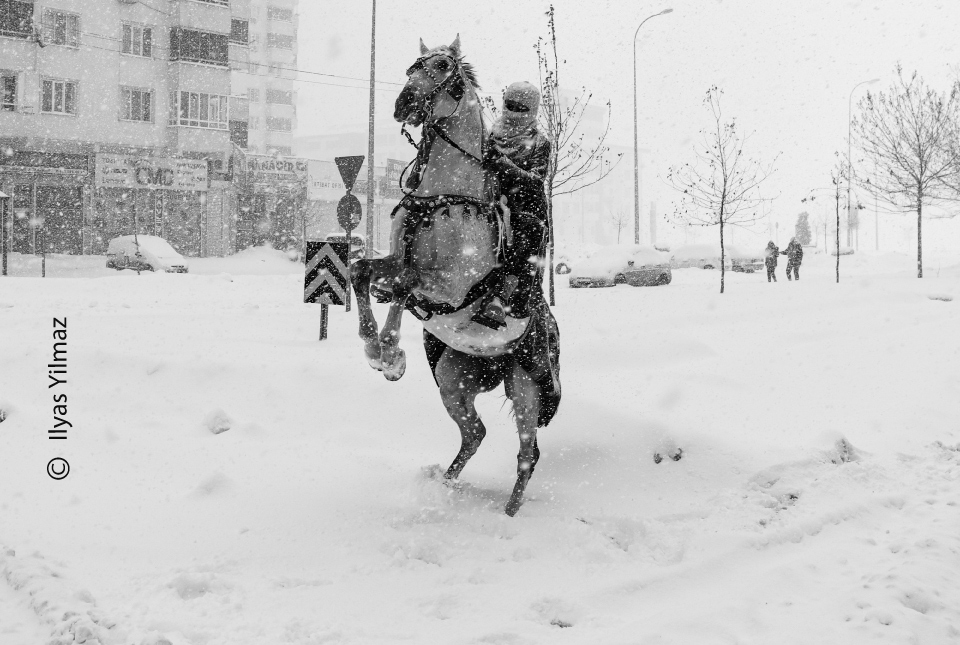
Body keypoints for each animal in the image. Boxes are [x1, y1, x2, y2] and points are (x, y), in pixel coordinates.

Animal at [352, 36, 564, 520]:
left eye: (443, 67)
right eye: (412, 66)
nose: (403, 103)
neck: (442, 197)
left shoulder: (451, 286)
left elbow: (404, 285)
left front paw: (390, 352)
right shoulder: (396, 258)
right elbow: (364, 272)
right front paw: (377, 350)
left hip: (526, 385)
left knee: (528, 452)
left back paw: (510, 513)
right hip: (454, 378)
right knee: (475, 433)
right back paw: (446, 484)